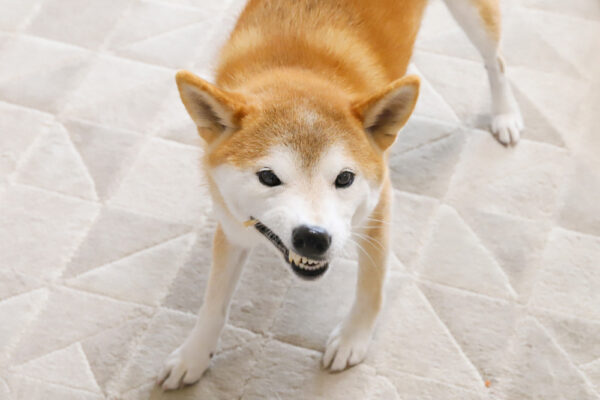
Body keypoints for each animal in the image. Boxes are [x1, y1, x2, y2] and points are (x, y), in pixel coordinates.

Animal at [157, 0, 524, 390]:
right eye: (268, 177)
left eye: (345, 178)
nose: (313, 238)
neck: (298, 65)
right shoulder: (233, 226)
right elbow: (213, 303)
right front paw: (194, 355)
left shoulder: (378, 209)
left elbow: (371, 289)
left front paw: (352, 339)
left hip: (474, 17)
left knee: (497, 61)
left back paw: (505, 115)